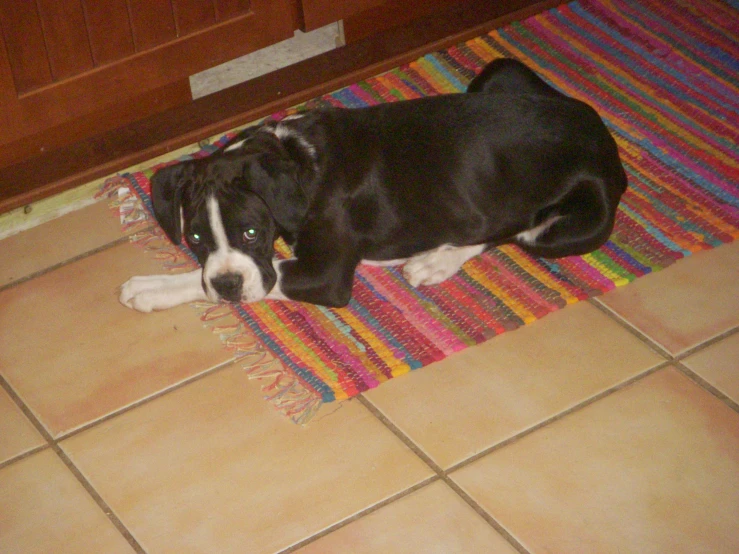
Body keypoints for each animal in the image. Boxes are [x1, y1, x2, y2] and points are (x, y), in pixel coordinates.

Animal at [120, 61, 624, 312]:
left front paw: (157, 292)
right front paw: (157, 283)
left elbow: (263, 275)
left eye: (251, 232)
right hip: (497, 73)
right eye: (195, 237)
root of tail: (603, 138)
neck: (296, 162)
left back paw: (436, 260)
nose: (226, 287)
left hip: (569, 227)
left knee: (512, 230)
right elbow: (209, 273)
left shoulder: (324, 276)